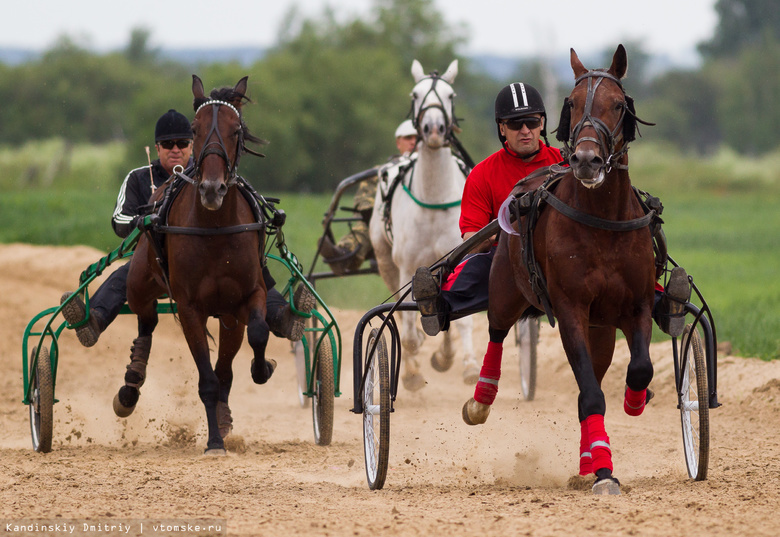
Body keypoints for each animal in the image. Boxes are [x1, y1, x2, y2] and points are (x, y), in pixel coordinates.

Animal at [116, 75, 274, 452]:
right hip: (140, 283)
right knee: (145, 321)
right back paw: (131, 383)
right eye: (195, 128)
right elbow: (207, 379)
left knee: (226, 366)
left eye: (236, 130)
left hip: (228, 315)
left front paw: (262, 369)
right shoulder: (189, 307)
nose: (212, 189)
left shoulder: (248, 295)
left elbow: (257, 334)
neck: (214, 227)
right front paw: (214, 442)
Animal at [370, 59, 478, 390]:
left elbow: (461, 318)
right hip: (385, 261)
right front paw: (412, 371)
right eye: (415, 95)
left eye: (451, 94)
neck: (434, 197)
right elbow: (405, 327)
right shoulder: (407, 266)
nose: (432, 129)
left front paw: (464, 364)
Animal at [464, 46, 660, 494]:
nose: (586, 160)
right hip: (505, 288)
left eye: (618, 104)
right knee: (497, 330)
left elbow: (638, 369)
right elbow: (590, 394)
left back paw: (589, 458)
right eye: (571, 103)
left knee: (595, 373)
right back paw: (481, 399)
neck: (603, 220)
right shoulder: (570, 307)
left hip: (600, 327)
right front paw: (604, 472)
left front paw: (634, 401)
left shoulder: (637, 304)